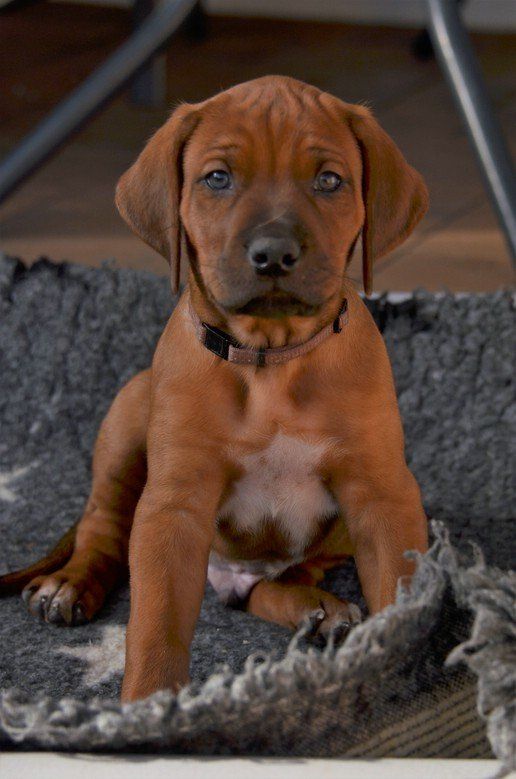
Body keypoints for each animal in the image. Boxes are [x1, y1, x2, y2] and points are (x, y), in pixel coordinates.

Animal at [0, 76, 429, 702]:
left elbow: (401, 596)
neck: (271, 358)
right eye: (217, 178)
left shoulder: (381, 496)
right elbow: (155, 626)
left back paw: (317, 609)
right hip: (129, 415)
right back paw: (71, 584)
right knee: (104, 527)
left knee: (265, 587)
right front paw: (149, 710)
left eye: (330, 180)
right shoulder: (174, 507)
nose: (273, 254)